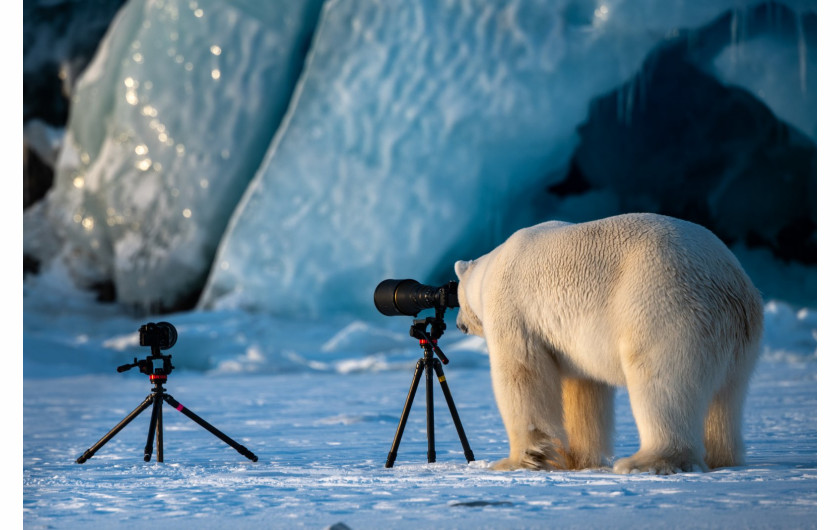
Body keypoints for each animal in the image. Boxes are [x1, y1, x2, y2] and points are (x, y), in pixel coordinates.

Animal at [456, 212, 764, 472]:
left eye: (456, 297)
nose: (459, 324)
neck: (490, 269)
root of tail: (730, 282)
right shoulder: (572, 342)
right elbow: (583, 389)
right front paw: (576, 459)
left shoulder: (513, 310)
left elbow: (522, 375)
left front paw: (518, 461)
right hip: (738, 340)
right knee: (727, 397)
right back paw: (722, 458)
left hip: (665, 308)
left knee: (661, 384)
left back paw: (645, 461)